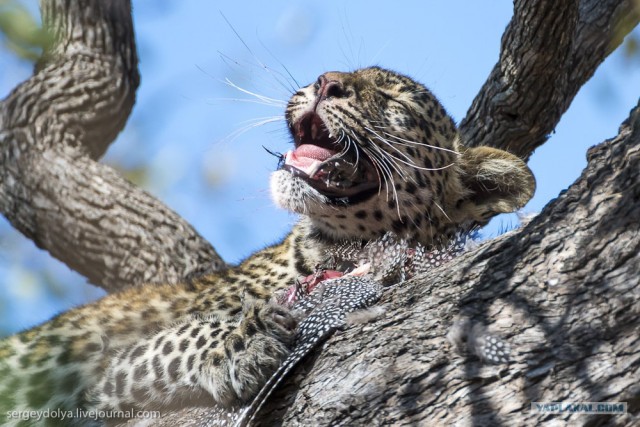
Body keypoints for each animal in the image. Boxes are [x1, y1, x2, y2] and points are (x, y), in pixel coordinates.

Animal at [0, 65, 532, 426]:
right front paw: (242, 341)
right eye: (335, 76)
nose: (325, 81)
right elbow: (181, 335)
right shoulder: (98, 370)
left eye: (391, 98)